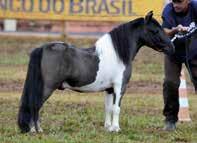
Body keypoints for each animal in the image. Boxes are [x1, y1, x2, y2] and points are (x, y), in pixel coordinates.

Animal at [17, 11, 174, 134]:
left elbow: (108, 108)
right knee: (35, 105)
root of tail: (43, 48)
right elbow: (116, 108)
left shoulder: (109, 89)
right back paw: (35, 130)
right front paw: (116, 128)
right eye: (155, 31)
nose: (171, 47)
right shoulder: (120, 87)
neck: (118, 54)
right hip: (47, 88)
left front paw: (109, 128)